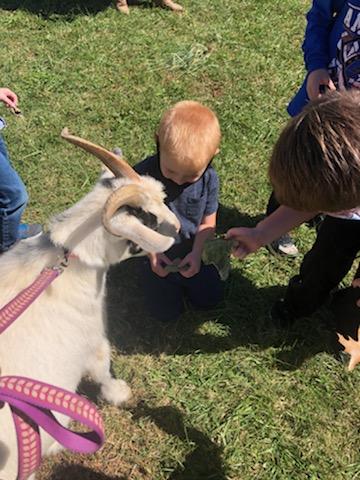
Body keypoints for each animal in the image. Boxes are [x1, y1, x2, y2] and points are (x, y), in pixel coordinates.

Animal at [0, 128, 180, 480]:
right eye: (150, 219)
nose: (179, 229)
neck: (66, 259)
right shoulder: (92, 338)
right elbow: (102, 367)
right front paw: (119, 393)